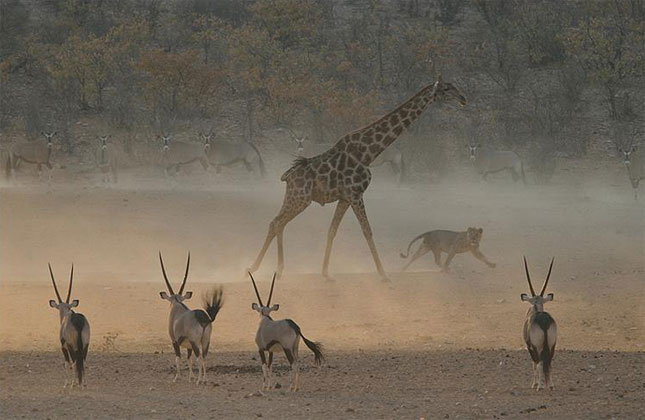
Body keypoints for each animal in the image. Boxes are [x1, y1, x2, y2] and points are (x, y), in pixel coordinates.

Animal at [248, 76, 467, 281]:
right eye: (446, 89)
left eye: (454, 87)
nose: (463, 99)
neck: (369, 152)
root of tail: (287, 177)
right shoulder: (356, 194)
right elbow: (367, 231)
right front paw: (383, 274)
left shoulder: (345, 198)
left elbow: (332, 230)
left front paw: (326, 273)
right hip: (300, 198)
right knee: (276, 223)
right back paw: (254, 268)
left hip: (298, 198)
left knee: (279, 223)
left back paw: (277, 270)